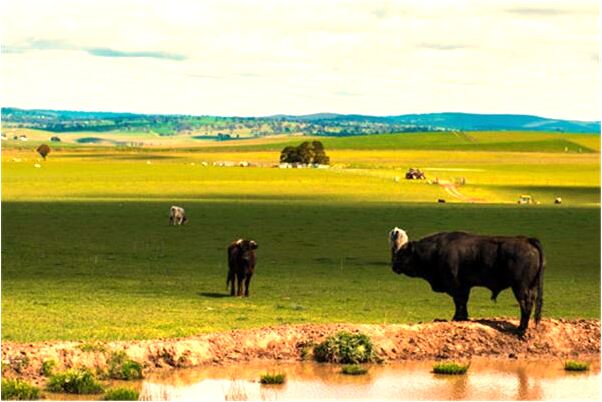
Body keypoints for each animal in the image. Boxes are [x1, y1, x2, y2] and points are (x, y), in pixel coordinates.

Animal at [390, 228, 544, 334]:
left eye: (402, 253)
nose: (394, 266)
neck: (436, 250)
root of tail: (528, 240)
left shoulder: (456, 286)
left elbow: (459, 301)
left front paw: (457, 317)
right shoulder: (465, 286)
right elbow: (463, 302)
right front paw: (463, 317)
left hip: (520, 288)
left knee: (525, 304)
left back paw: (520, 329)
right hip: (531, 287)